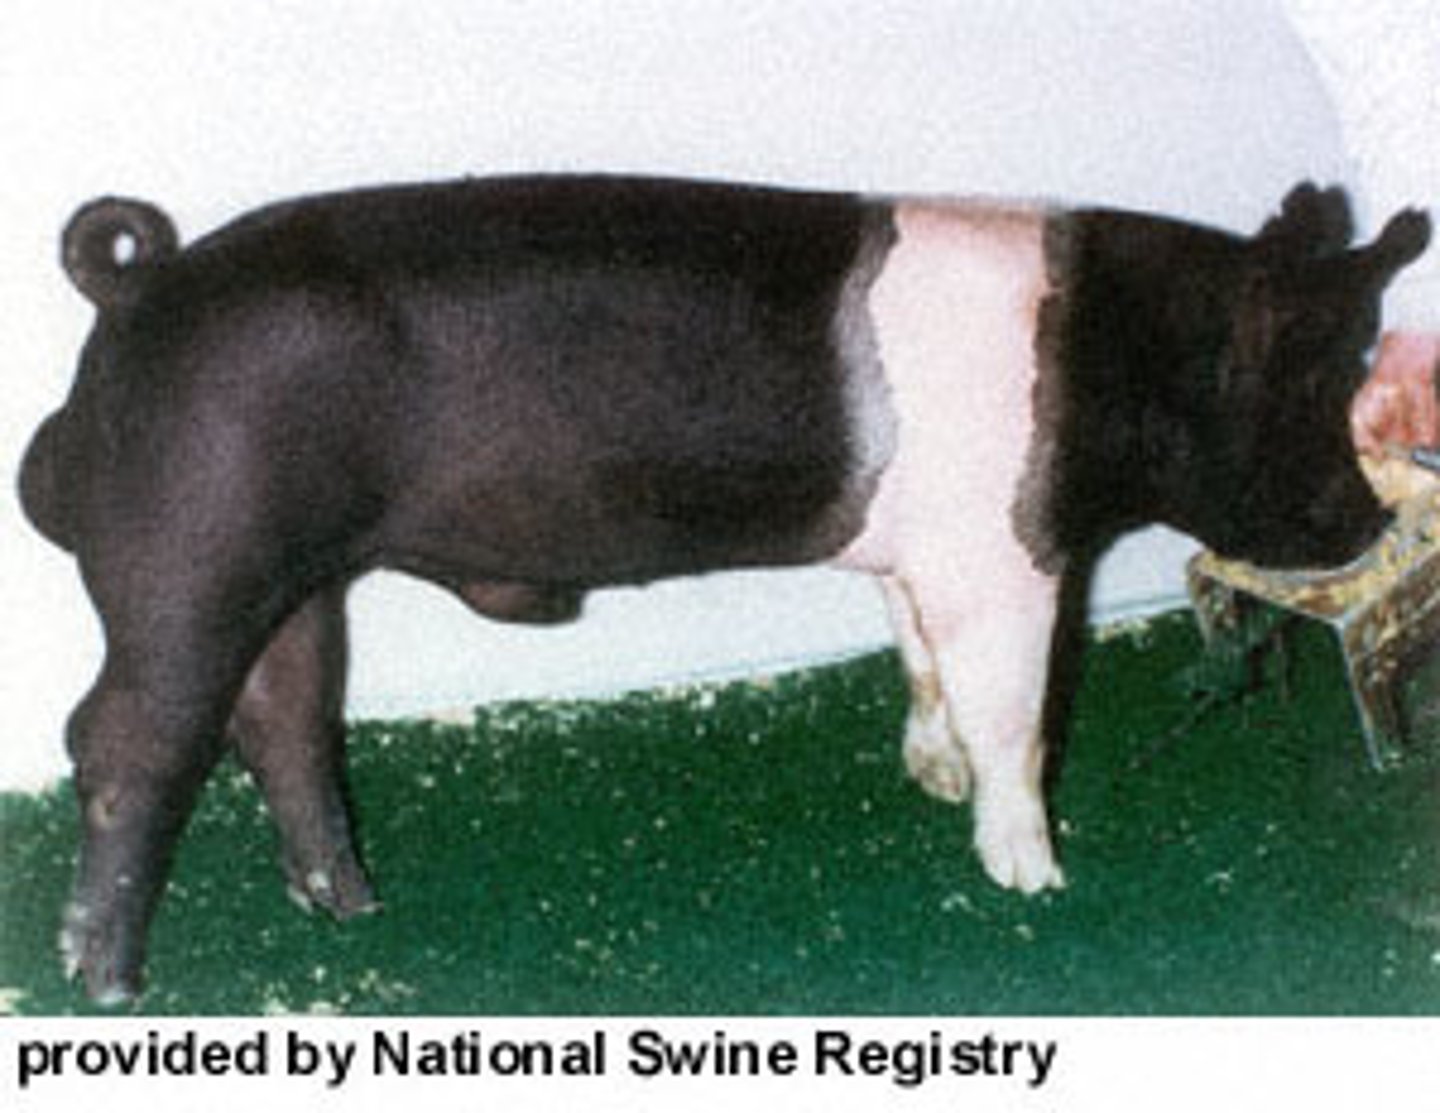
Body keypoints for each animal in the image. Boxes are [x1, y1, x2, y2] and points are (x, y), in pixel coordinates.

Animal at [18, 174, 1430, 1003]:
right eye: (1316, 379)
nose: (1368, 519)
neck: (1104, 354)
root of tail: (139, 281)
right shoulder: (1006, 554)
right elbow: (1015, 709)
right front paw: (1035, 876)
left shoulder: (923, 559)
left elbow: (921, 661)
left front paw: (931, 781)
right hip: (193, 558)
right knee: (125, 739)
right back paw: (108, 981)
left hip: (293, 579)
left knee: (286, 718)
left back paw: (350, 906)